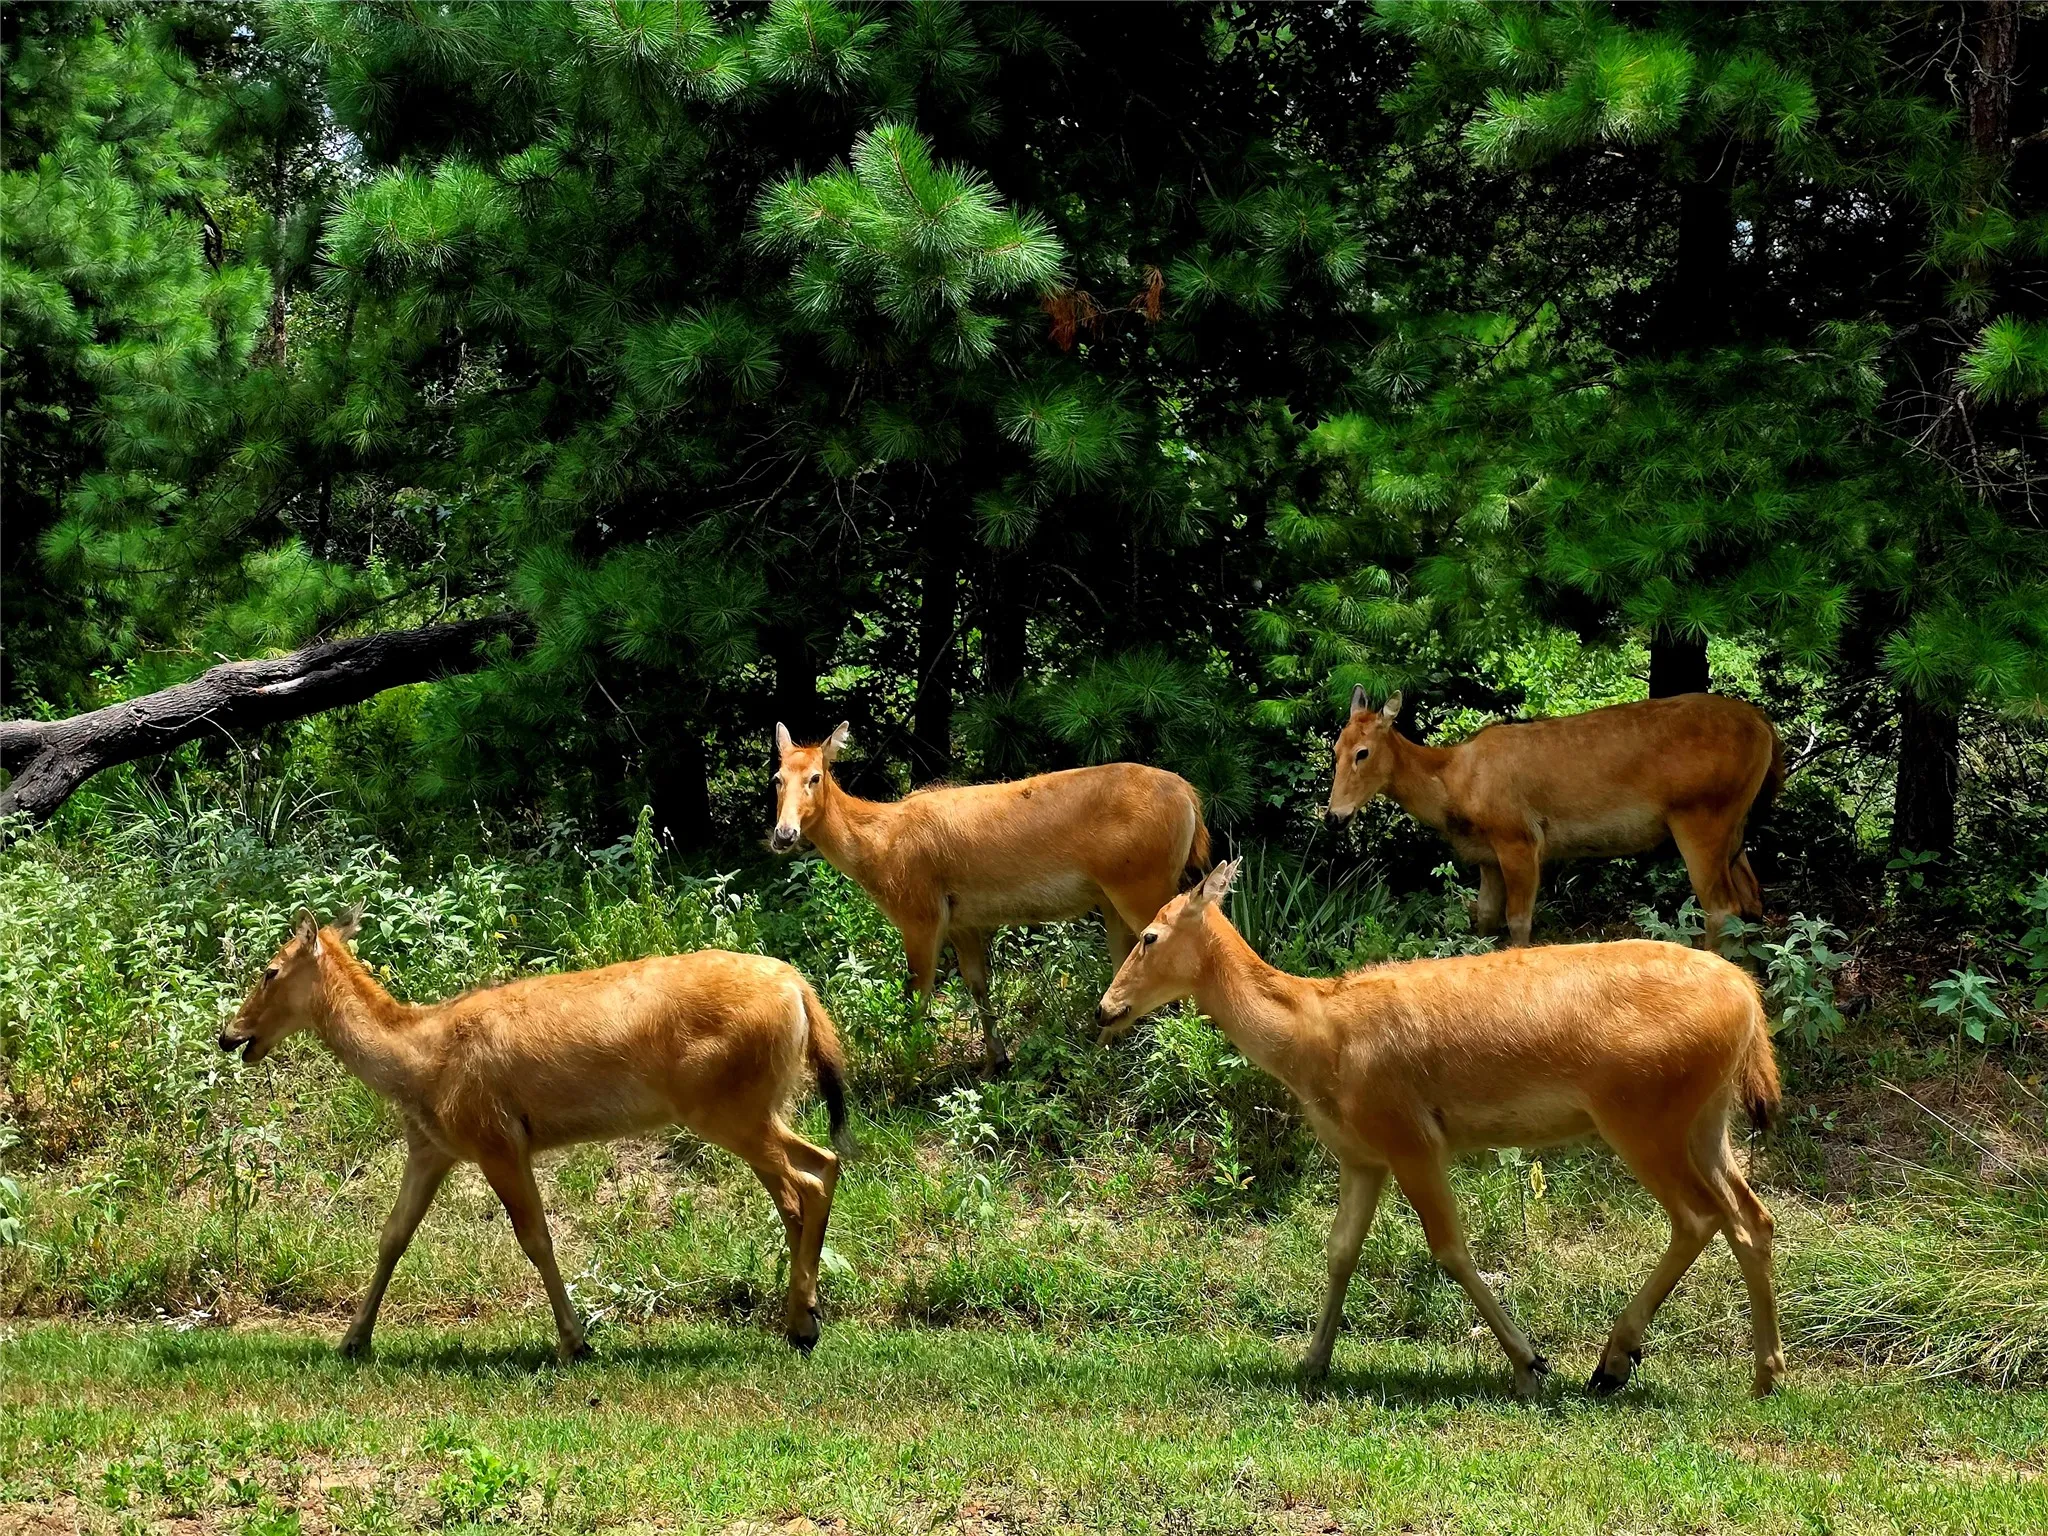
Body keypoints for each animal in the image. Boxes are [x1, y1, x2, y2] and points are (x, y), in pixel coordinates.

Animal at [219, 908, 853, 1363]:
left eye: (270, 970)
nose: (230, 1035)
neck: (418, 1063)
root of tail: (801, 991)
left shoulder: (495, 1137)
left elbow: (536, 1238)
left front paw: (576, 1342)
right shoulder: (434, 1146)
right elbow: (393, 1235)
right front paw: (353, 1339)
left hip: (726, 1105)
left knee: (806, 1179)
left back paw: (801, 1324)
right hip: (757, 1104)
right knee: (812, 1173)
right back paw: (803, 1316)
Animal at [771, 722, 1209, 1070]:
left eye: (815, 777)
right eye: (777, 777)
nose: (784, 834)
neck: (878, 847)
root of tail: (1190, 797)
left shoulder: (920, 911)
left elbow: (917, 995)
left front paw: (908, 1073)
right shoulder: (962, 919)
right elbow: (977, 984)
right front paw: (994, 1062)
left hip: (1141, 882)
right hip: (1116, 895)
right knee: (1124, 961)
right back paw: (1103, 1048)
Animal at [1095, 861, 1786, 1400]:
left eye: (1149, 935)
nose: (1105, 1009)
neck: (1316, 1039)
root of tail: (1747, 999)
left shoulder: (1410, 1136)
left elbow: (1450, 1249)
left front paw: (1530, 1365)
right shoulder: (1361, 1154)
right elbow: (1340, 1249)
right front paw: (1312, 1361)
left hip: (1642, 1112)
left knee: (1700, 1216)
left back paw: (1614, 1363)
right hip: (1705, 1118)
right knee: (1752, 1217)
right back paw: (1765, 1375)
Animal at [1326, 689, 1784, 951]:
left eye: (1363, 752)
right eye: (1335, 748)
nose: (1334, 816)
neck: (1455, 787)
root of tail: (1766, 726)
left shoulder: (1519, 837)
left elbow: (1519, 922)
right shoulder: (1487, 856)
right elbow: (1485, 919)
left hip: (1702, 814)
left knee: (1721, 907)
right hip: (1734, 825)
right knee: (1751, 899)